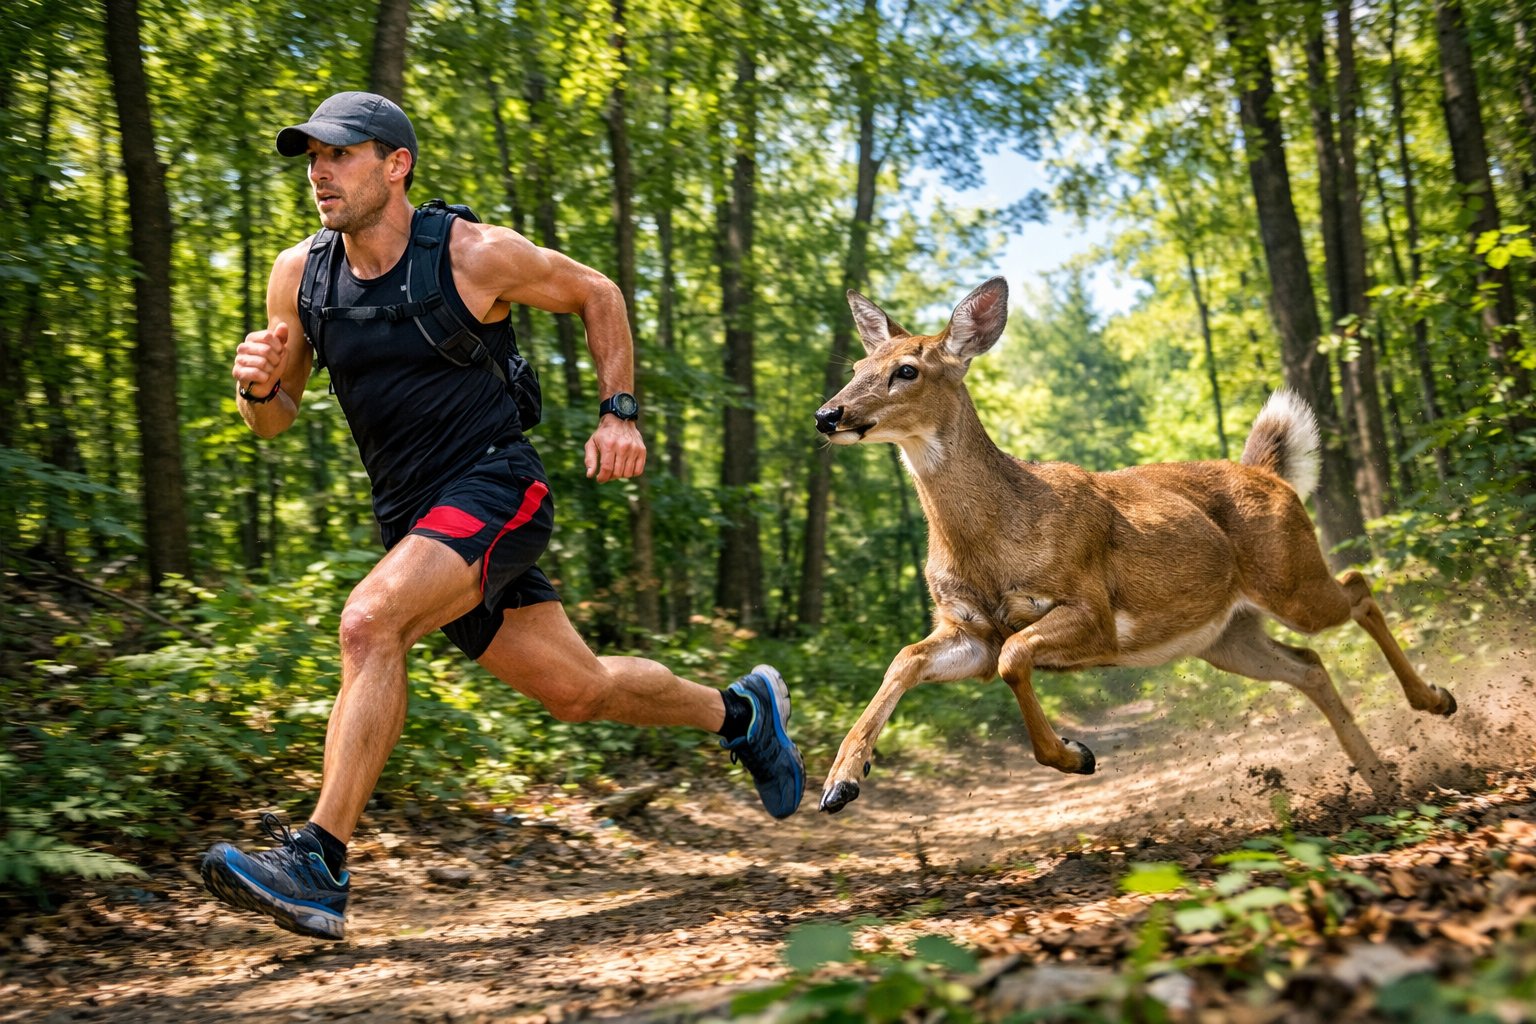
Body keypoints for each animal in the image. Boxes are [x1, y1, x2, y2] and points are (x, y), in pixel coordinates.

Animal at [812, 277, 1457, 815]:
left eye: (907, 370)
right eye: (858, 362)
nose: (828, 414)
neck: (993, 537)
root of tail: (1269, 474)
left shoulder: (1091, 609)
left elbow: (1014, 657)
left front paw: (1075, 754)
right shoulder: (968, 629)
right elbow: (908, 657)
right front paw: (841, 781)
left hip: (1291, 580)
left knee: (1357, 587)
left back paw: (1437, 701)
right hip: (1226, 636)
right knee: (1310, 665)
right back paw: (1381, 777)